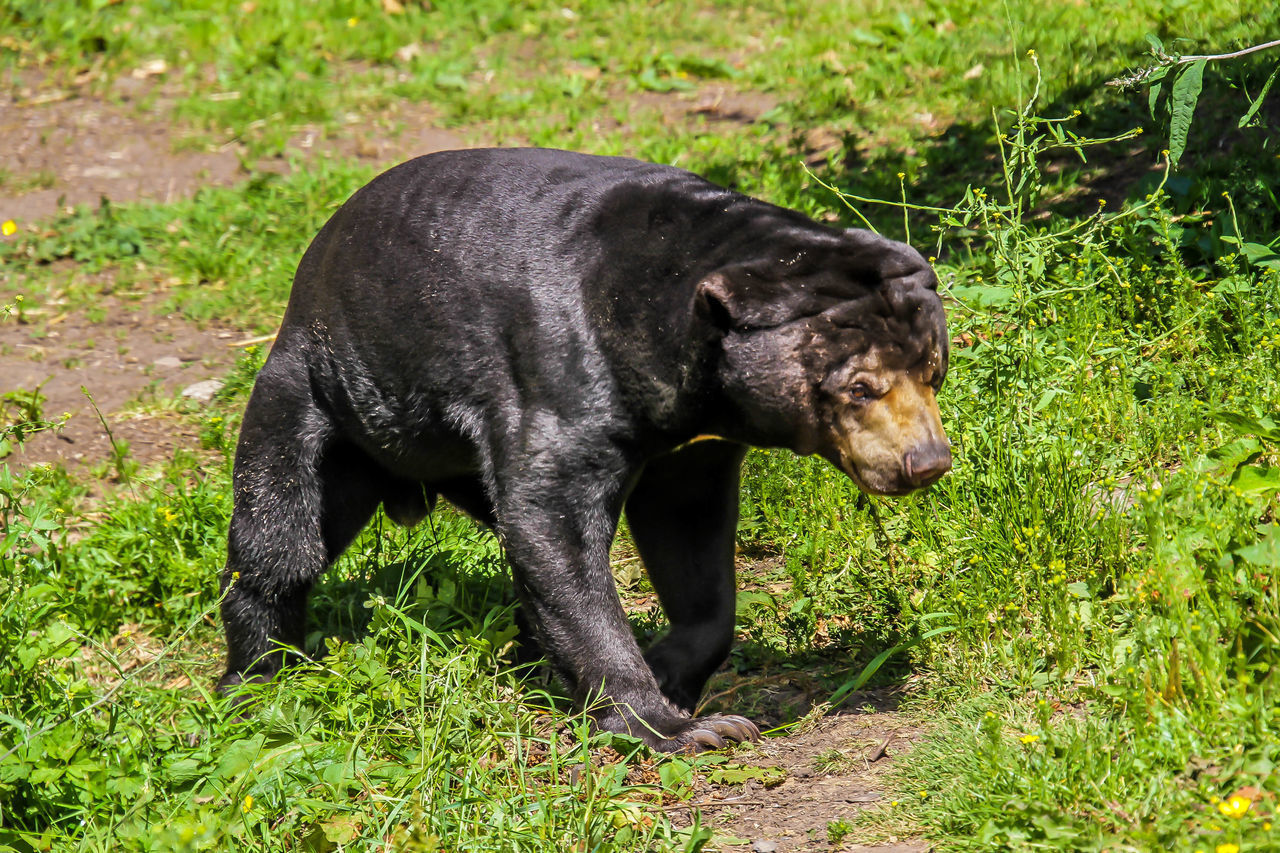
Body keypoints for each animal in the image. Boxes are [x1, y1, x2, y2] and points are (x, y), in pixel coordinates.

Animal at [217, 147, 952, 753]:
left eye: (934, 372)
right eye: (860, 386)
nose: (927, 461)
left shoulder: (692, 446)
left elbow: (692, 544)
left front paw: (673, 672)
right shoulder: (565, 379)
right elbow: (555, 529)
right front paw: (679, 725)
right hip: (316, 397)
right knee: (281, 541)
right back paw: (254, 680)